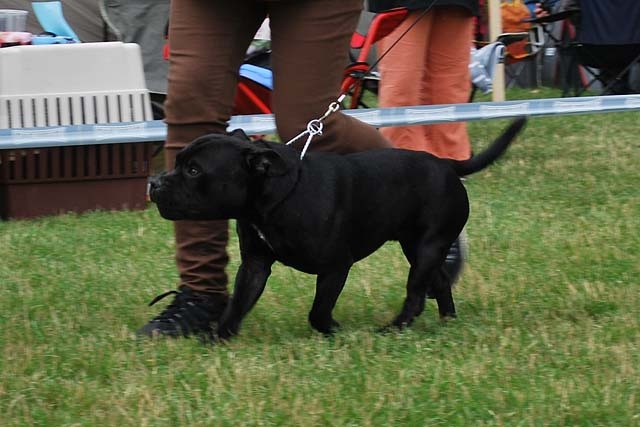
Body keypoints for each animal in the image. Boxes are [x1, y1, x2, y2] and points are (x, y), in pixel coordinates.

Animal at [150, 116, 524, 338]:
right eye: (179, 161)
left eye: (194, 170)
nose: (154, 182)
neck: (277, 195)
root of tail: (448, 165)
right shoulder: (255, 265)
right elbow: (239, 303)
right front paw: (218, 338)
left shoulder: (334, 267)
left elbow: (317, 310)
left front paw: (334, 330)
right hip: (415, 247)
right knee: (441, 282)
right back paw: (448, 321)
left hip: (427, 247)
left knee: (416, 294)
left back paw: (393, 329)